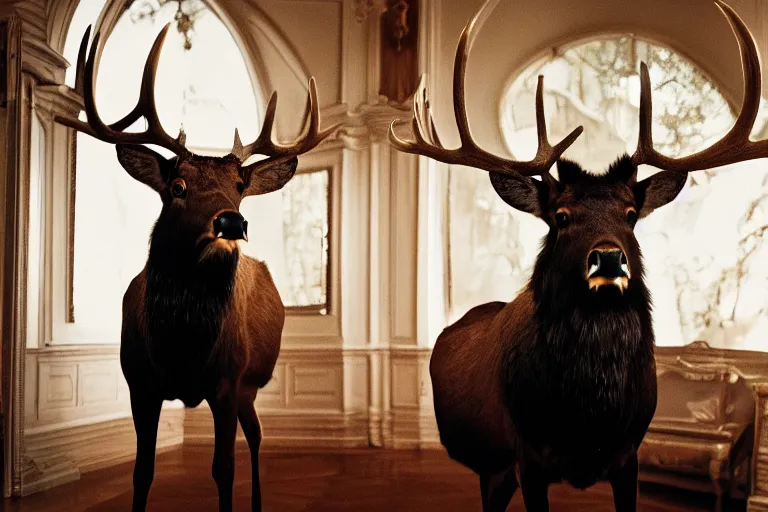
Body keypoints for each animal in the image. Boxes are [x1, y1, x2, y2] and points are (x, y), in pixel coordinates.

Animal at [58, 25, 334, 512]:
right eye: (177, 186)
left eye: (240, 185)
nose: (231, 222)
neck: (180, 347)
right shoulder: (140, 383)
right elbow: (142, 471)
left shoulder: (227, 381)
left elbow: (223, 469)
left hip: (251, 384)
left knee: (256, 437)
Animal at [392, 1, 764, 512]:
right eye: (561, 216)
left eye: (631, 214)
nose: (607, 259)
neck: (590, 420)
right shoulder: (528, 457)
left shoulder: (629, 456)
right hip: (492, 464)